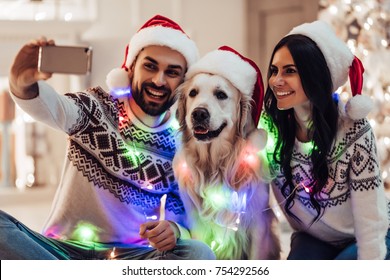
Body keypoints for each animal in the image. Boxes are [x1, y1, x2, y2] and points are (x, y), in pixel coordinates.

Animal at [173, 46, 280, 260]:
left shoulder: (258, 224)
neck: (215, 163)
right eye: (193, 93)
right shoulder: (198, 224)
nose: (198, 113)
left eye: (221, 94)